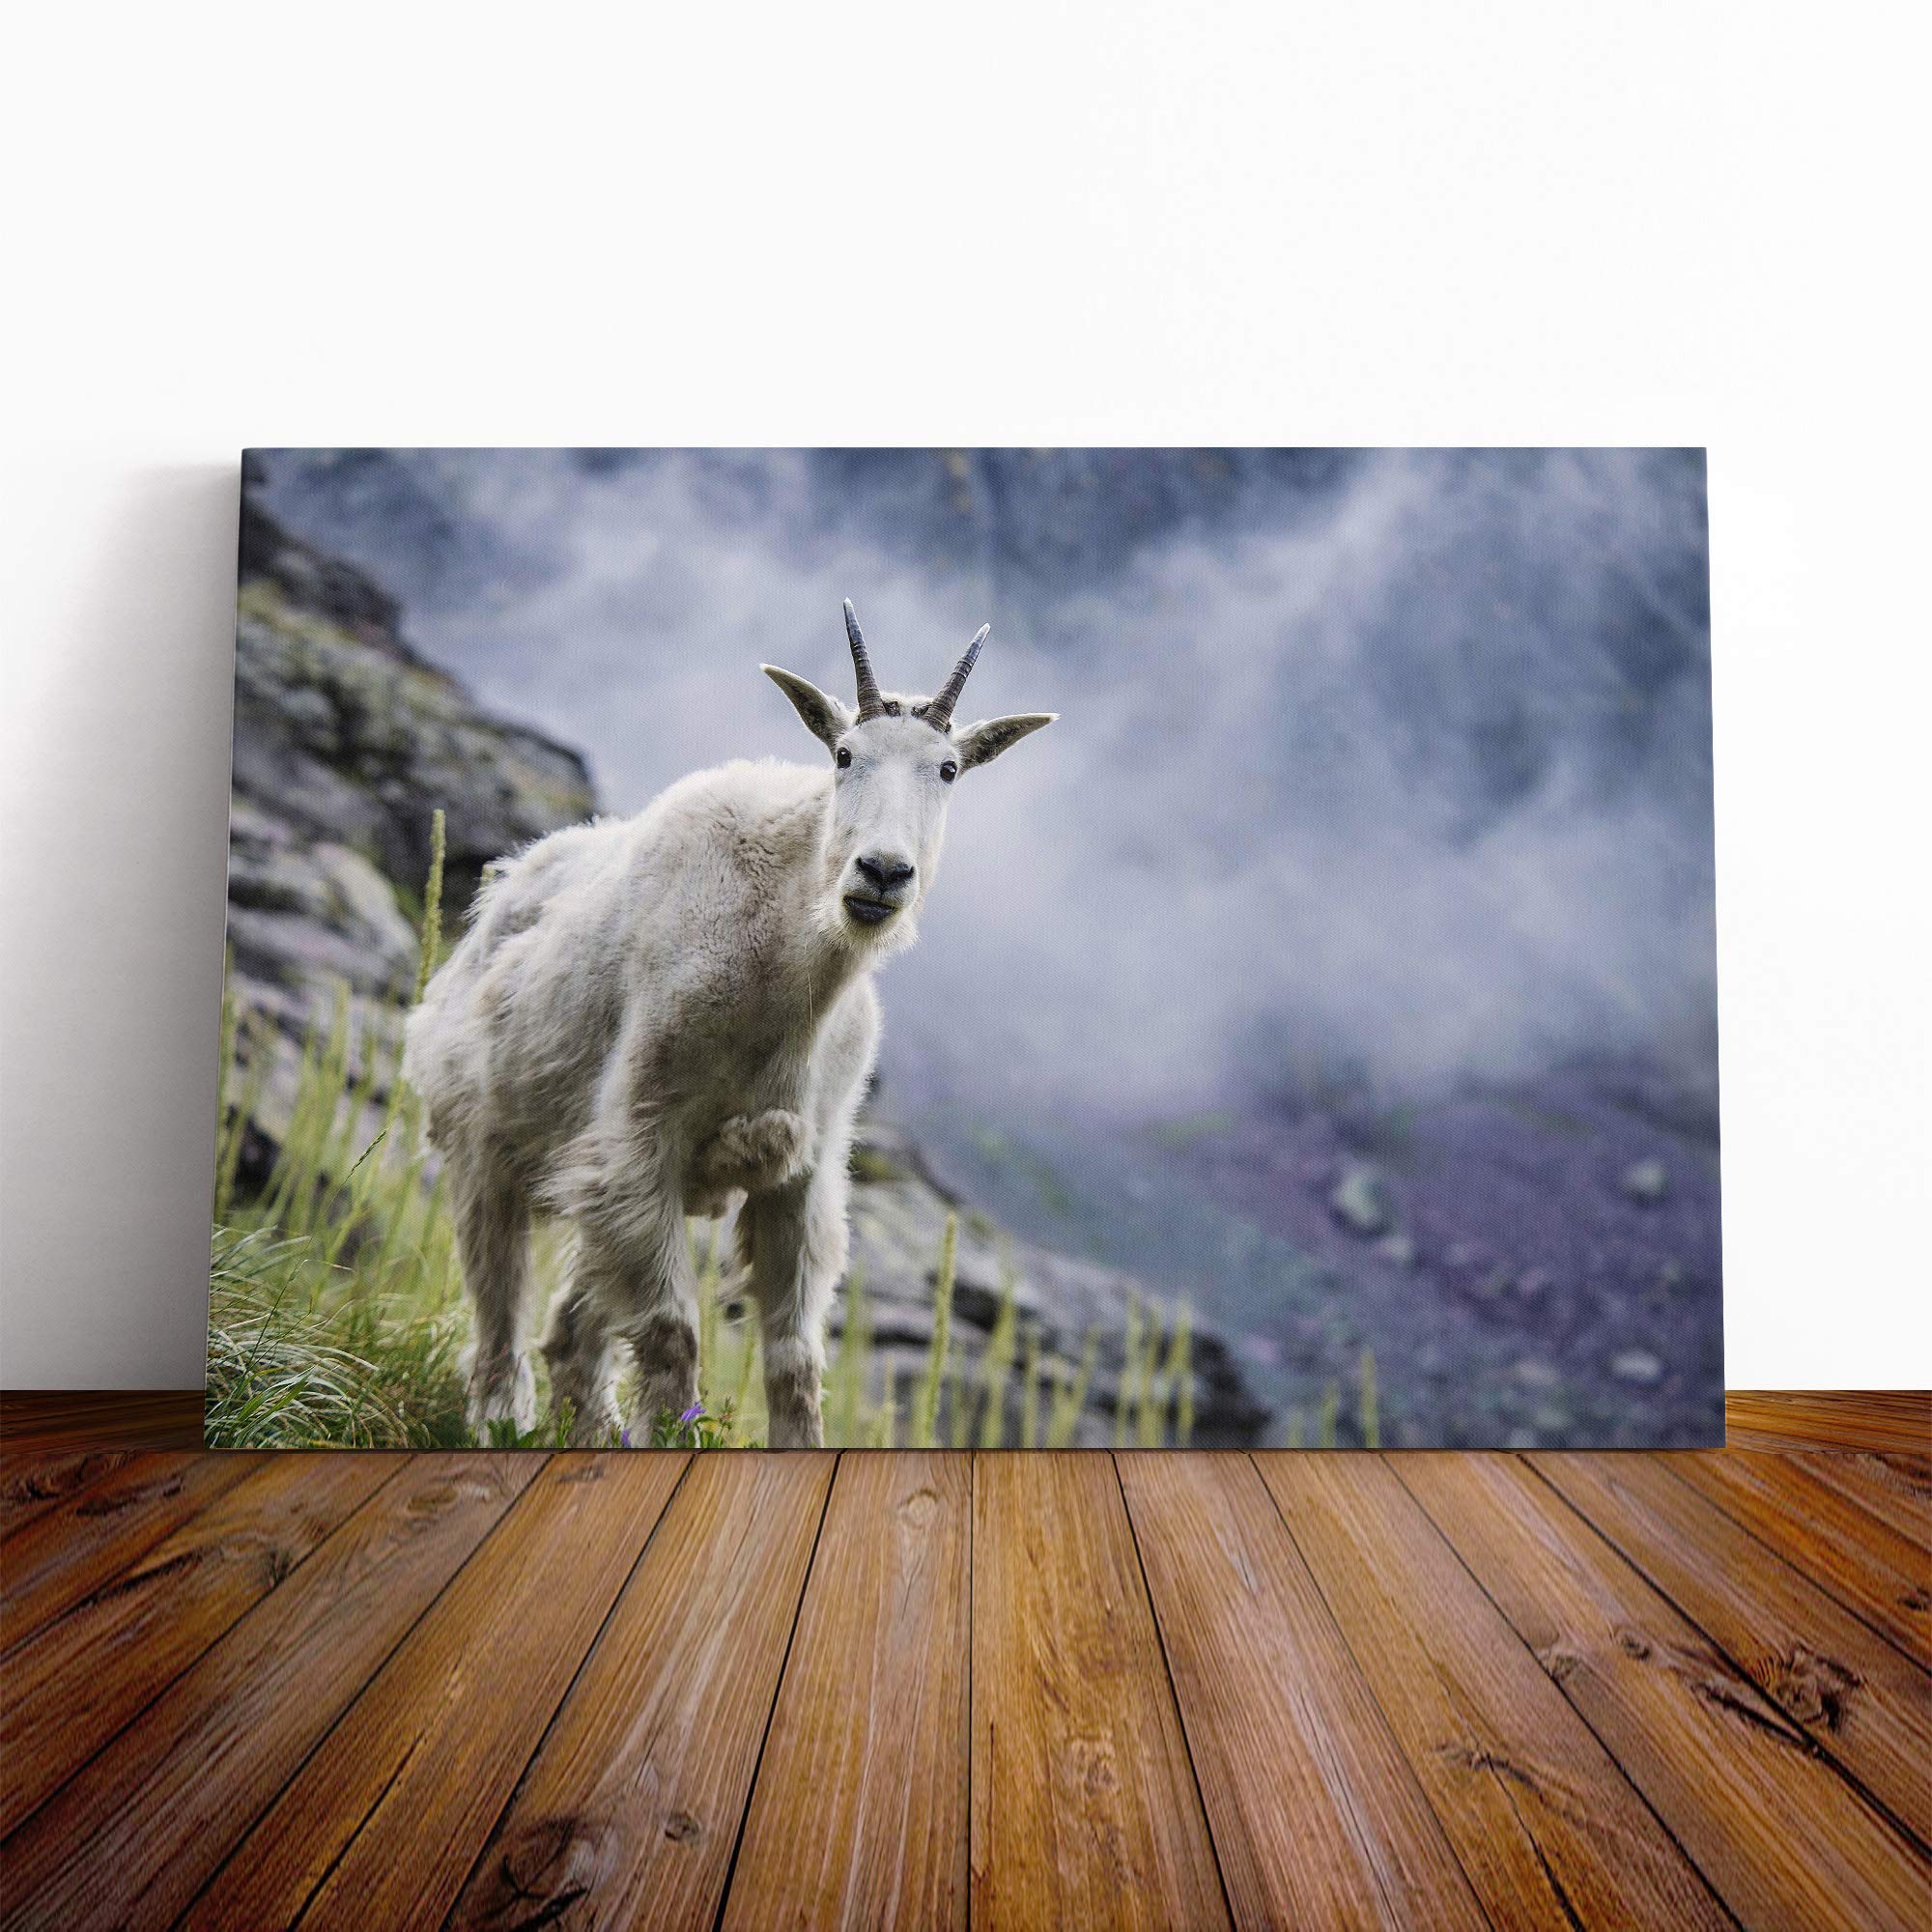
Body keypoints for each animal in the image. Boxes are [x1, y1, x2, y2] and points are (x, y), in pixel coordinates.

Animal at [402, 602, 1055, 1445]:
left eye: (947, 770)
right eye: (844, 755)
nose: (881, 874)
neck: (787, 974)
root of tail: (496, 899)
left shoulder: (801, 1172)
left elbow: (794, 1362)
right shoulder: (641, 1135)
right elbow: (673, 1336)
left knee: (571, 1337)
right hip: (485, 1147)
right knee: (501, 1319)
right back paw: (499, 1425)